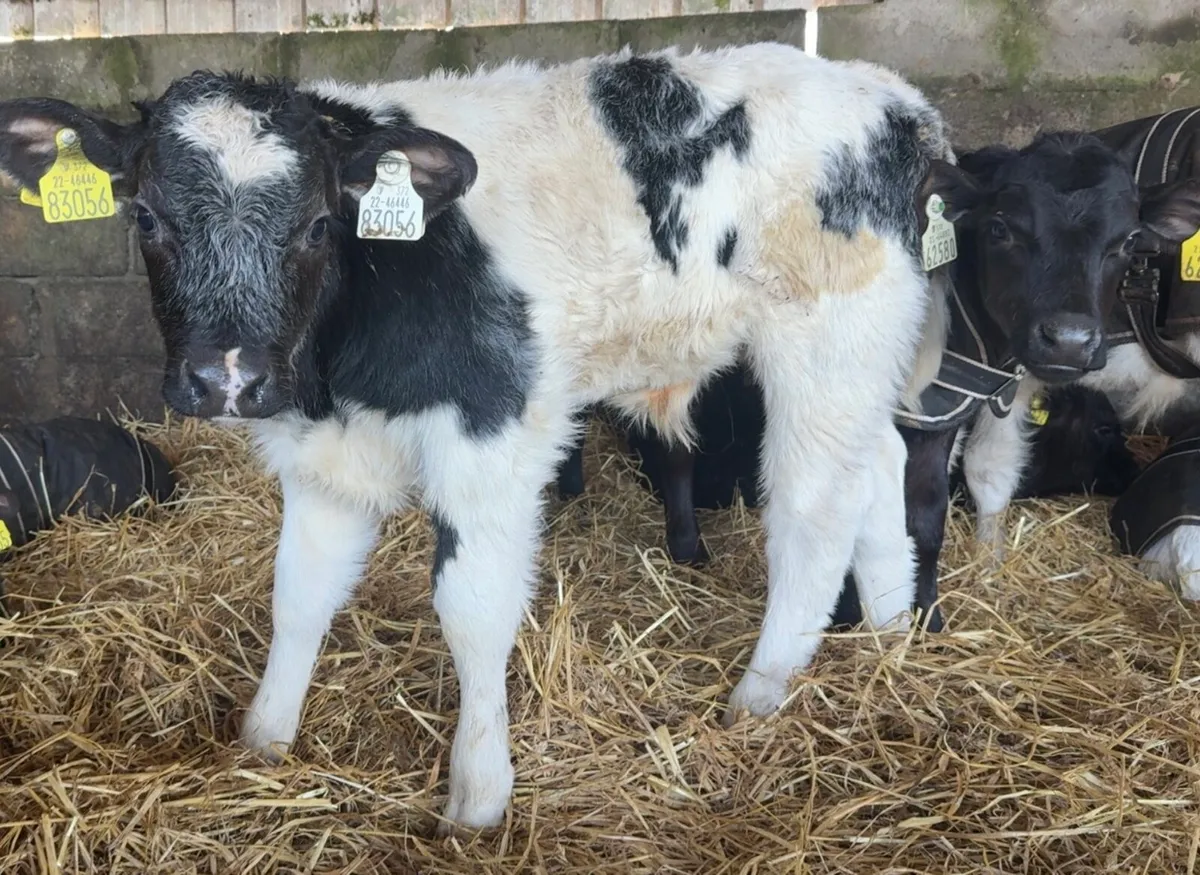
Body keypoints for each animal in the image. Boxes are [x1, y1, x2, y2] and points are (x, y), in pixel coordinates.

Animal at [0, 44, 967, 829]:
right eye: (146, 217)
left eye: (316, 223)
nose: (227, 378)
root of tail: (896, 100)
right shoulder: (328, 456)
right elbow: (299, 593)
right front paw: (264, 739)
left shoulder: (492, 434)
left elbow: (472, 609)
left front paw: (477, 793)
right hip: (862, 357)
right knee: (877, 468)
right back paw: (889, 641)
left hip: (828, 337)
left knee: (814, 508)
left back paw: (759, 696)